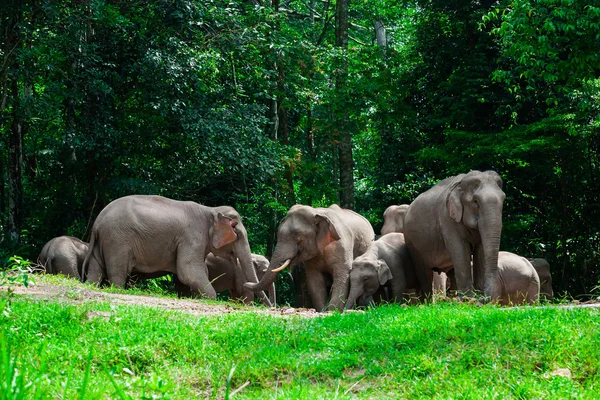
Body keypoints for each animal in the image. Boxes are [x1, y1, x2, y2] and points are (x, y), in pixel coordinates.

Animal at [81, 195, 268, 304]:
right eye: (238, 233)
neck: (210, 209)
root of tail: (97, 221)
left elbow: (183, 276)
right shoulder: (191, 238)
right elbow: (188, 271)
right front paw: (210, 298)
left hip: (103, 242)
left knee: (96, 270)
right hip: (117, 240)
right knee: (118, 272)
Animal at [241, 205, 372, 310]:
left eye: (297, 236)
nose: (245, 283)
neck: (316, 212)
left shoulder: (342, 245)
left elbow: (342, 277)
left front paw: (332, 311)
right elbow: (315, 282)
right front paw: (322, 310)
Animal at [404, 170, 506, 302]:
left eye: (503, 200)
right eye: (475, 202)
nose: (484, 298)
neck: (461, 184)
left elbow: (480, 251)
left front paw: (475, 298)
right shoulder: (447, 218)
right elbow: (460, 250)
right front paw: (469, 300)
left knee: (451, 272)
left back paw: (452, 299)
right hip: (412, 243)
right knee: (424, 273)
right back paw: (427, 302)